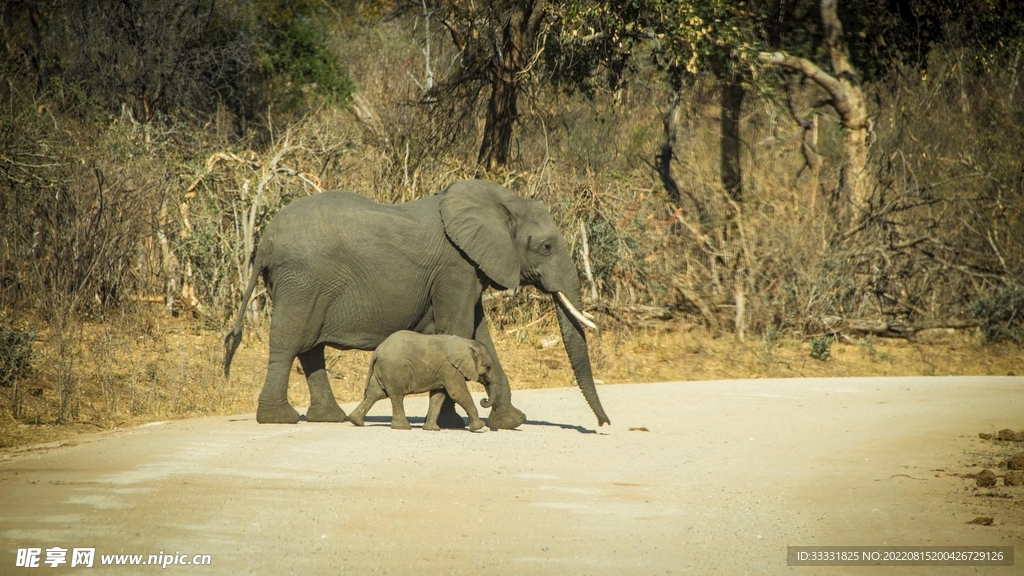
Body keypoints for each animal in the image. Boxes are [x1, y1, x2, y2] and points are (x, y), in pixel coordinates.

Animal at [346, 330, 493, 428]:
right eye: (488, 366)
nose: (484, 400)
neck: (466, 342)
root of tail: (378, 350)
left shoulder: (443, 371)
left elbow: (438, 396)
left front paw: (432, 429)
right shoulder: (450, 368)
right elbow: (458, 394)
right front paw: (479, 427)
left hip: (382, 369)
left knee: (375, 394)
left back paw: (356, 421)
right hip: (394, 369)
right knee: (396, 395)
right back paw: (403, 427)